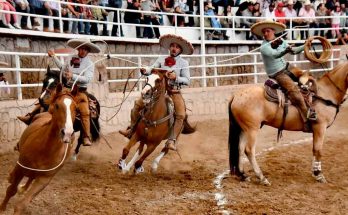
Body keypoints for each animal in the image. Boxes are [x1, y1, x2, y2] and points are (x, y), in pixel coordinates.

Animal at [0, 83, 77, 214]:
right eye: (57, 105)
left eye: (76, 108)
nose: (67, 133)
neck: (45, 149)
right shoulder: (21, 167)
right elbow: (11, 190)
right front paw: (2, 208)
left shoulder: (44, 180)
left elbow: (22, 204)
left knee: (30, 178)